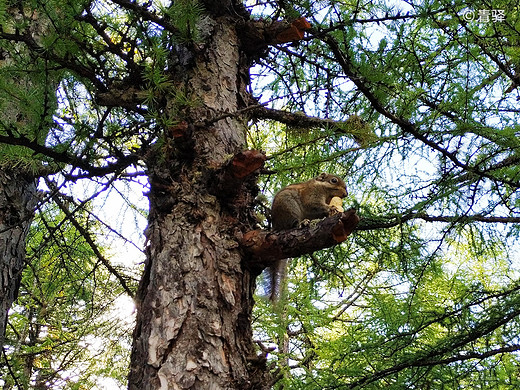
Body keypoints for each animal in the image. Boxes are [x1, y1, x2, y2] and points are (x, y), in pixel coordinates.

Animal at [266, 173, 348, 302]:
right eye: (334, 180)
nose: (346, 194)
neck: (326, 192)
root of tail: (276, 226)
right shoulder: (311, 195)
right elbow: (314, 205)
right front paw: (331, 208)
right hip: (288, 206)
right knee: (291, 224)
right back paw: (302, 222)